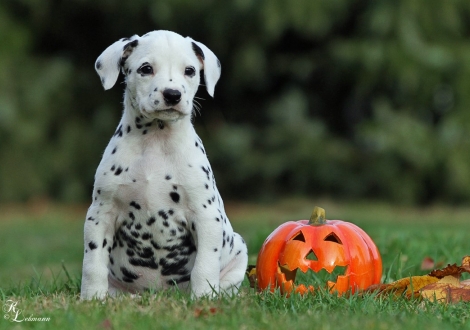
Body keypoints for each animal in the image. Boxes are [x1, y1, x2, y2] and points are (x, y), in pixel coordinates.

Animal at [80, 29, 250, 300]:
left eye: (189, 70)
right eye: (146, 68)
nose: (172, 94)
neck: (156, 141)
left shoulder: (205, 215)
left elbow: (204, 265)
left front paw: (202, 298)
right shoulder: (100, 214)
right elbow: (93, 261)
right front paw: (92, 298)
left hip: (239, 251)